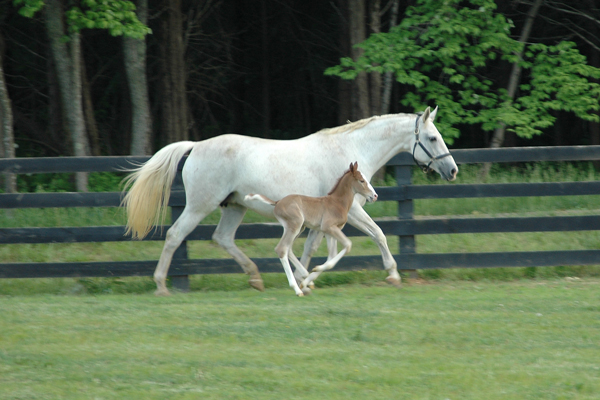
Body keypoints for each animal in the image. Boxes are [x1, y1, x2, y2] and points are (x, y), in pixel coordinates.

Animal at [123, 105, 460, 294]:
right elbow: (379, 234)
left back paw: (255, 278)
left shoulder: (318, 221)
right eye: (432, 138)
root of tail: (196, 145)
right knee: (174, 235)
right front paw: (393, 275)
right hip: (199, 205)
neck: (350, 150)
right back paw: (161, 285)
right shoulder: (352, 212)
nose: (453, 170)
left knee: (223, 238)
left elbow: (310, 249)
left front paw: (306, 280)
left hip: (234, 207)